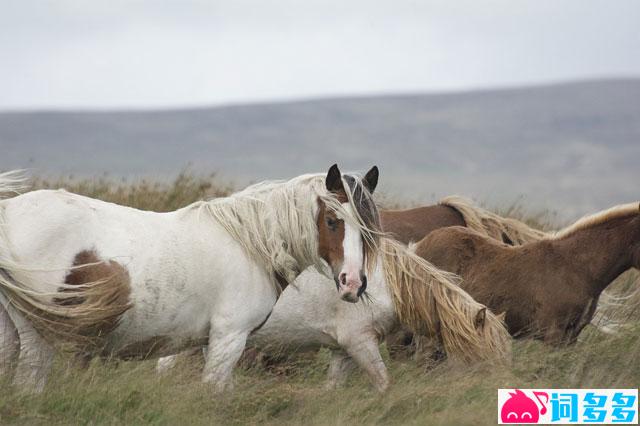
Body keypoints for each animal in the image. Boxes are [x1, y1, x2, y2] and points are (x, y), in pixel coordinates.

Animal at [0, 165, 380, 392]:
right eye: (332, 221)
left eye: (368, 227)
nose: (353, 283)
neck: (249, 243)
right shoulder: (229, 338)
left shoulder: (212, 341)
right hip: (39, 335)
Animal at [158, 238, 512, 392]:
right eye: (484, 358)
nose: (498, 390)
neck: (384, 282)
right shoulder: (360, 343)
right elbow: (384, 383)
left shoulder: (344, 350)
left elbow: (333, 387)